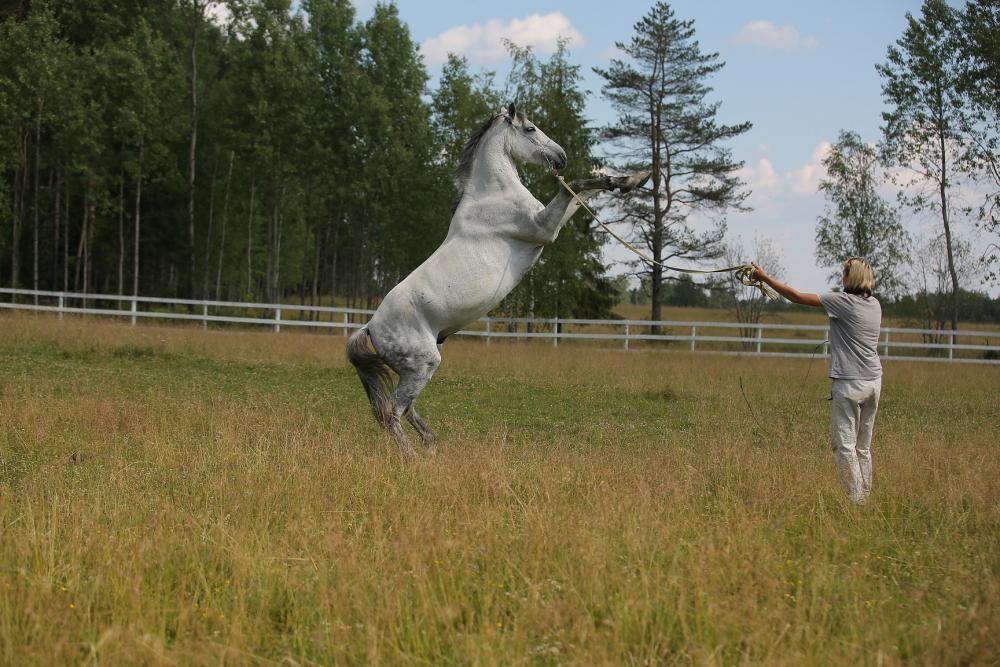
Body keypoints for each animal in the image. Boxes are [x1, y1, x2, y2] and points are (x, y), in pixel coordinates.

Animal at [347, 104, 649, 458]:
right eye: (531, 129)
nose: (561, 157)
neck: (492, 194)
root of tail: (370, 327)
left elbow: (581, 191)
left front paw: (628, 179)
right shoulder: (544, 228)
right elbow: (573, 186)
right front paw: (631, 179)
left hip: (412, 370)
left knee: (405, 410)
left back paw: (431, 446)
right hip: (422, 365)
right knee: (392, 412)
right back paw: (412, 458)